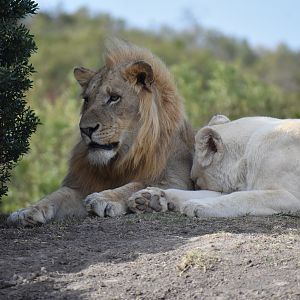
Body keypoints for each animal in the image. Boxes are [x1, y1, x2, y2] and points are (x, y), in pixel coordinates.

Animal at [8, 38, 195, 226]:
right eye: (87, 99)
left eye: (114, 98)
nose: (86, 129)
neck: (120, 160)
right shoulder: (82, 185)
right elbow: (57, 195)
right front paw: (25, 211)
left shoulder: (174, 180)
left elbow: (137, 185)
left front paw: (104, 198)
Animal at [130, 114, 300, 216]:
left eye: (196, 181)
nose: (195, 185)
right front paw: (148, 198)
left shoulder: (289, 195)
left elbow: (243, 197)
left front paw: (196, 206)